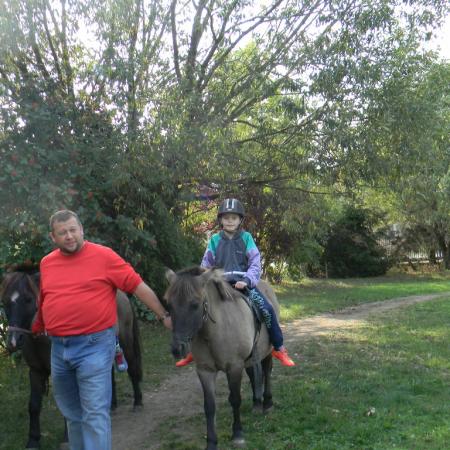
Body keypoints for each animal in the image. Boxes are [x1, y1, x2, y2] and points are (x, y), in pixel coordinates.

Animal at [165, 268, 278, 450]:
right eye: (169, 304)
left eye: (195, 304)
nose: (177, 348)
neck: (215, 331)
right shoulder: (205, 371)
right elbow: (209, 407)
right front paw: (211, 442)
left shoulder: (234, 367)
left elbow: (235, 399)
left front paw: (238, 434)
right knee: (254, 373)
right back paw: (256, 403)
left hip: (267, 350)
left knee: (266, 371)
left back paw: (267, 402)